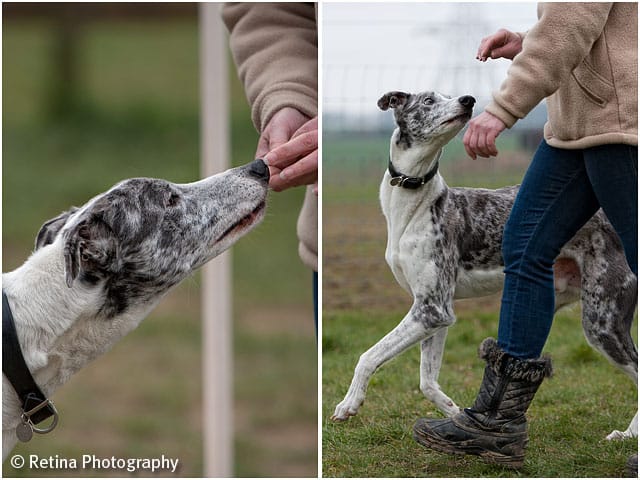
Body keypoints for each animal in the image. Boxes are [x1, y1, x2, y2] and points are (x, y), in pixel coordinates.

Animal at [332, 90, 636, 442]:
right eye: (428, 100)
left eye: (447, 95)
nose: (468, 100)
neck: (415, 205)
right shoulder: (436, 312)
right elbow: (427, 381)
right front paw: (455, 415)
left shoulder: (431, 309)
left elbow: (368, 356)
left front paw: (349, 404)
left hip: (602, 321)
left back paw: (628, 436)